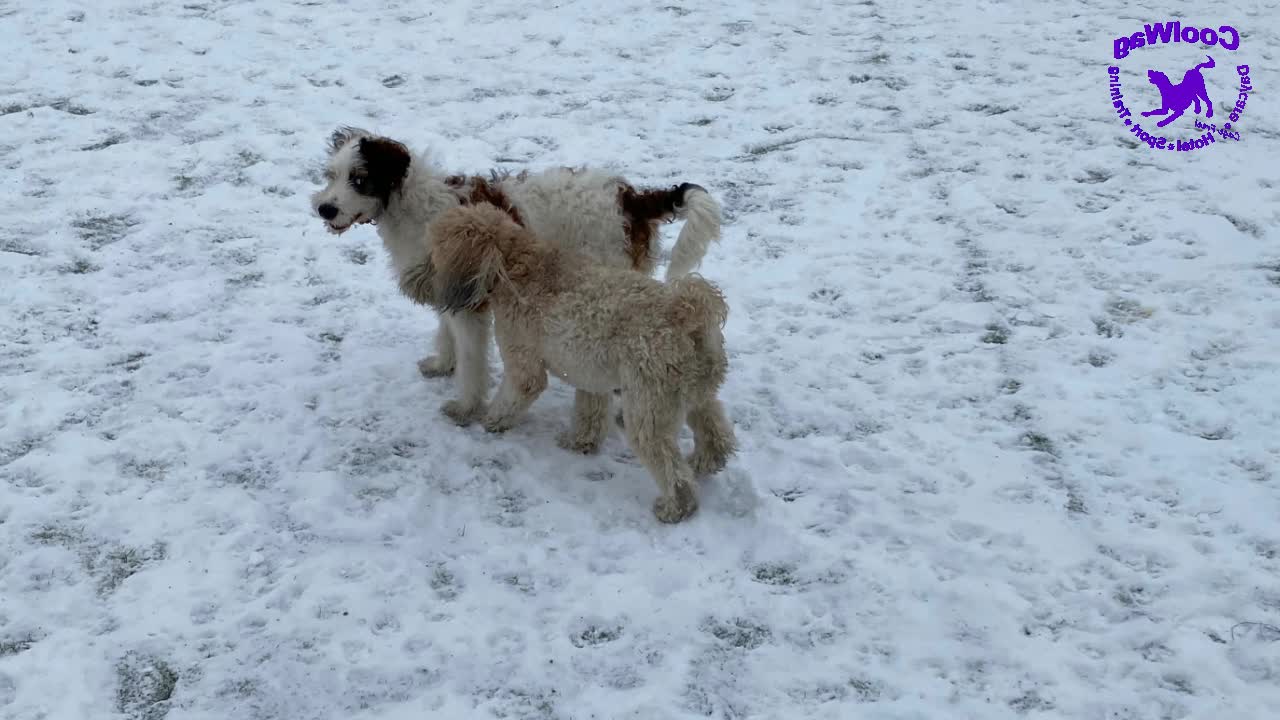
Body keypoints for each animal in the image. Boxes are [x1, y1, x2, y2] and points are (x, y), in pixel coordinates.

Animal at [307, 126, 721, 435]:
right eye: (331, 175)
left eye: (359, 179)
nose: (324, 208)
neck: (413, 207)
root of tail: (630, 197)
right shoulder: (445, 286)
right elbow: (445, 331)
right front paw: (443, 363)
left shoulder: (470, 305)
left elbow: (472, 357)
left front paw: (467, 405)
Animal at [414, 202, 737, 520]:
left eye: (435, 250)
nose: (423, 283)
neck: (513, 263)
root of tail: (688, 312)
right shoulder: (589, 372)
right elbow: (589, 412)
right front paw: (580, 442)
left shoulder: (523, 360)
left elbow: (517, 392)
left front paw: (492, 420)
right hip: (695, 393)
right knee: (716, 432)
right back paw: (706, 461)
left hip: (650, 407)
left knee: (670, 466)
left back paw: (675, 506)